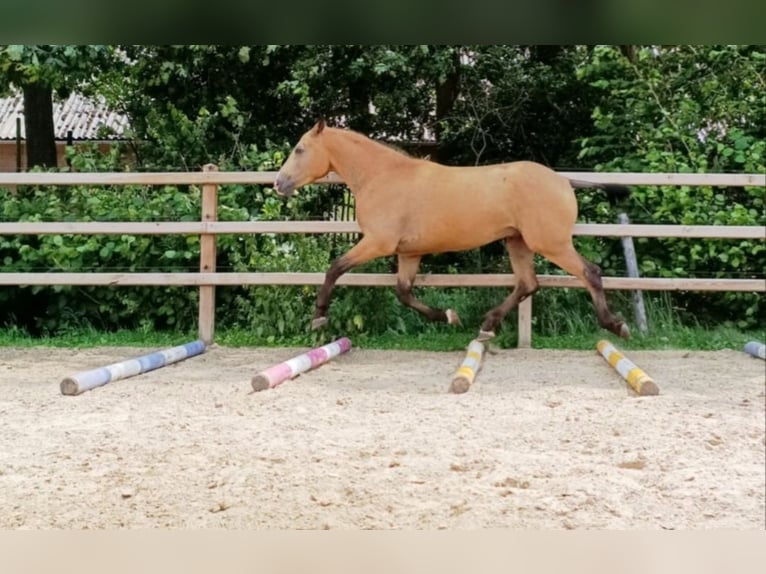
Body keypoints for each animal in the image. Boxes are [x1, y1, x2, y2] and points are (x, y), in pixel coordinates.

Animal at [274, 119, 632, 342]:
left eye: (300, 149)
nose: (279, 183)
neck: (382, 176)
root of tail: (562, 180)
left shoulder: (377, 243)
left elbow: (335, 268)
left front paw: (319, 317)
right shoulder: (409, 253)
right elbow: (404, 293)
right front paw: (449, 316)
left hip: (551, 244)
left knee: (589, 272)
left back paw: (616, 326)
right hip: (518, 242)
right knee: (528, 284)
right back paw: (486, 326)